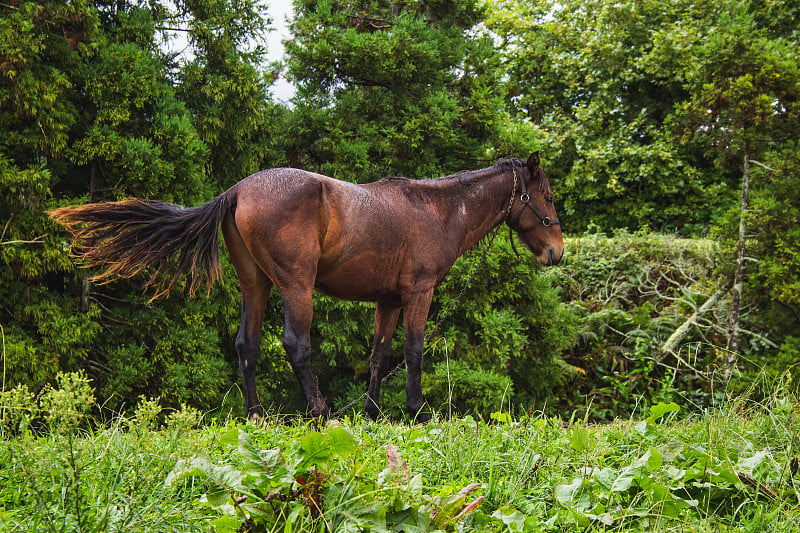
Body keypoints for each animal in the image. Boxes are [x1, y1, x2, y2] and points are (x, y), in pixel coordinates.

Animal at [48, 152, 564, 422]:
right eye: (546, 196)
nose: (556, 251)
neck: (434, 209)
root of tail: (238, 190)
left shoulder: (387, 302)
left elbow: (378, 356)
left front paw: (373, 413)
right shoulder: (418, 293)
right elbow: (414, 351)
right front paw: (418, 411)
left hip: (255, 285)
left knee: (247, 346)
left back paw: (255, 414)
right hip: (296, 287)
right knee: (296, 344)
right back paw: (320, 412)